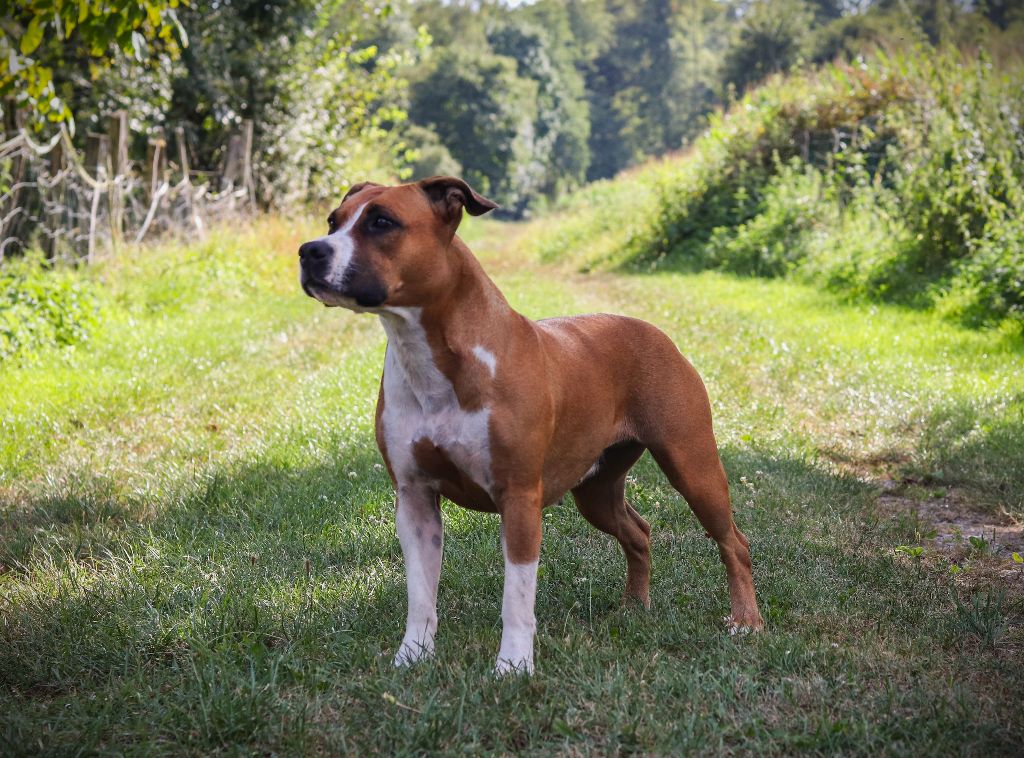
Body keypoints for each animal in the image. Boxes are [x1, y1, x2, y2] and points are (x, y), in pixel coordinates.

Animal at [298, 176, 763, 674]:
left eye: (382, 222)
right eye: (333, 221)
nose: (309, 250)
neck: (432, 355)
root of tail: (656, 332)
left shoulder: (519, 499)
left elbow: (517, 598)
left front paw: (513, 667)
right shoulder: (415, 499)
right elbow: (421, 595)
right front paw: (413, 657)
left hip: (692, 466)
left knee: (734, 542)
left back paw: (746, 620)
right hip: (596, 491)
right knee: (639, 533)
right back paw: (634, 608)